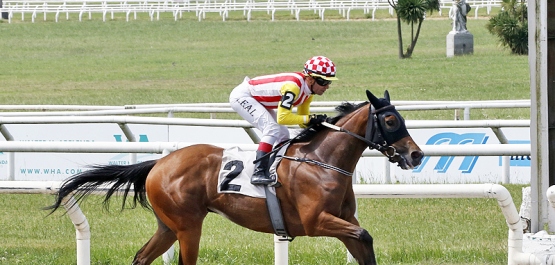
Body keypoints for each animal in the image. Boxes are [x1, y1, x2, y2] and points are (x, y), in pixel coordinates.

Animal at [45, 89, 424, 262]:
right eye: (391, 120)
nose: (416, 154)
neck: (322, 161)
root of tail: (159, 164)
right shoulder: (316, 221)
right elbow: (363, 235)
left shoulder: (343, 222)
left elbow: (364, 242)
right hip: (188, 226)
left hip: (168, 226)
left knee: (141, 257)